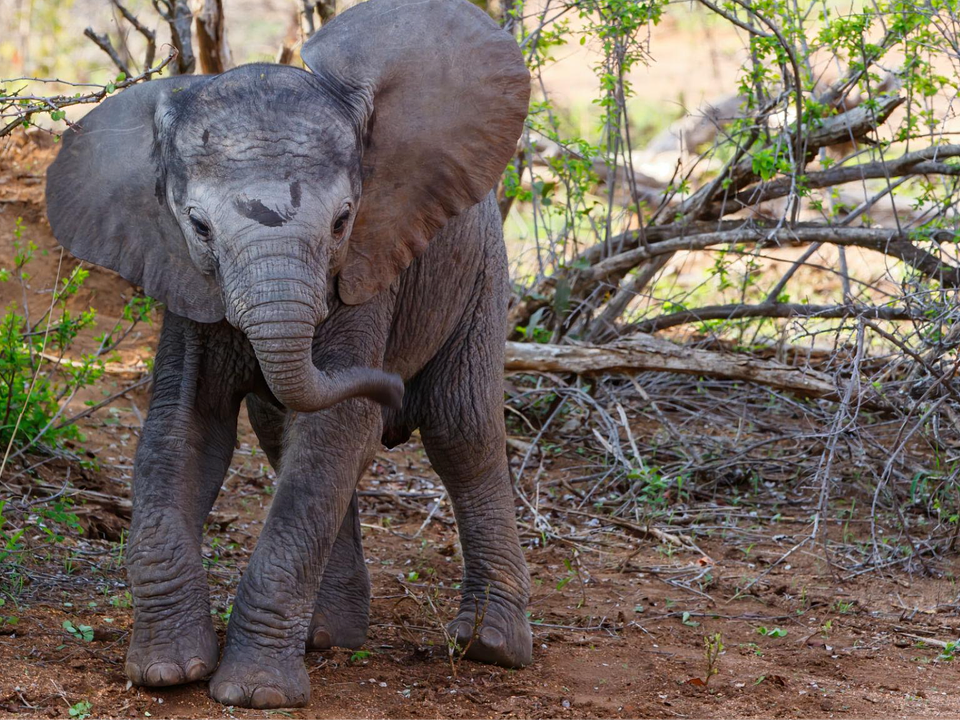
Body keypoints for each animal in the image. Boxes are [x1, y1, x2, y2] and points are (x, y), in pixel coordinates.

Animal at [44, 0, 531, 709]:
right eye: (199, 227)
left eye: (342, 221)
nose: (387, 387)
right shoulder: (185, 281)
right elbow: (181, 431)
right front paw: (168, 672)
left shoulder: (369, 267)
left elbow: (331, 434)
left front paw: (254, 694)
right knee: (284, 436)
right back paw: (329, 638)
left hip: (479, 270)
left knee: (460, 431)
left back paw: (489, 647)